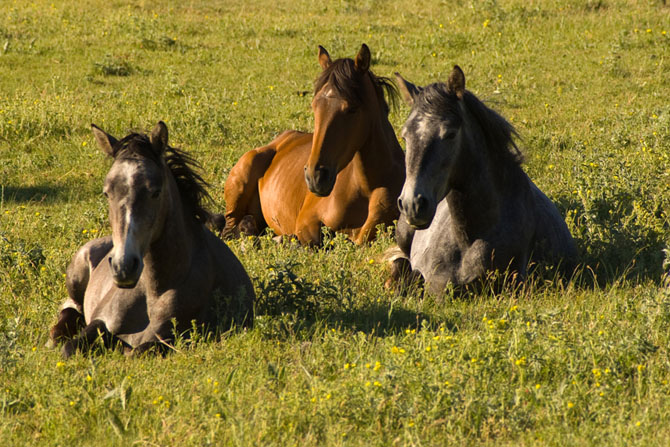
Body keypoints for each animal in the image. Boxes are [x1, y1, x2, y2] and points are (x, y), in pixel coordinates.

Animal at [48, 121, 256, 356]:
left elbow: (136, 351)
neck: (153, 293)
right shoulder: (101, 321)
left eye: (155, 192)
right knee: (71, 307)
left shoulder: (171, 339)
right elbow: (70, 347)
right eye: (107, 193)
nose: (123, 267)